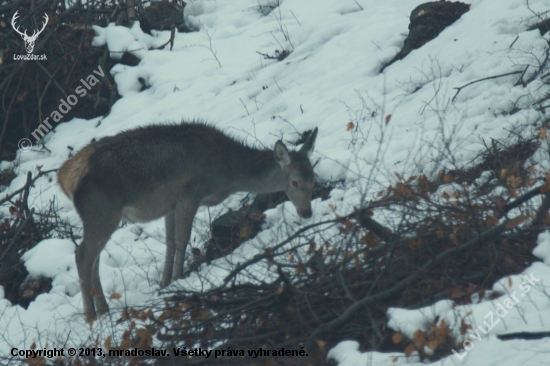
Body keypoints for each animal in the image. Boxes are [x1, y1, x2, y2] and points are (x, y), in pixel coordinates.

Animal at [57, 122, 320, 320]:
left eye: (313, 178)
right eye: (295, 182)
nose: (307, 212)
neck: (225, 174)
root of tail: (65, 178)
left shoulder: (171, 204)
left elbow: (170, 243)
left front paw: (164, 283)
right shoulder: (190, 193)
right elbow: (182, 240)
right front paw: (177, 279)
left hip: (99, 217)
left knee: (94, 260)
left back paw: (104, 310)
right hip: (102, 212)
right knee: (82, 256)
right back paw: (90, 316)